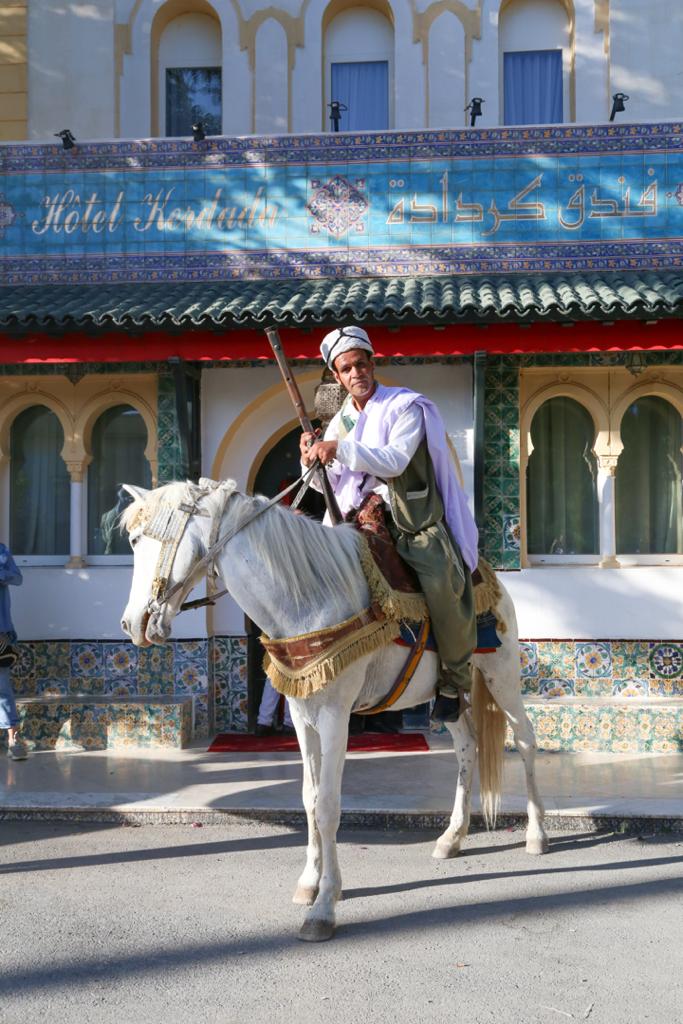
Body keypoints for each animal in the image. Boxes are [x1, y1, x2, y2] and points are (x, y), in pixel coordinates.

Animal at [120, 477, 548, 942]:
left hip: (500, 673)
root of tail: (487, 572)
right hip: (447, 694)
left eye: (141, 539)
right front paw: (309, 882)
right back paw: (452, 838)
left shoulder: (336, 717)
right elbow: (308, 799)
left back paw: (536, 834)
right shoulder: (302, 714)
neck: (306, 599)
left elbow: (327, 806)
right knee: (467, 745)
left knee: (525, 739)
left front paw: (324, 906)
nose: (131, 624)